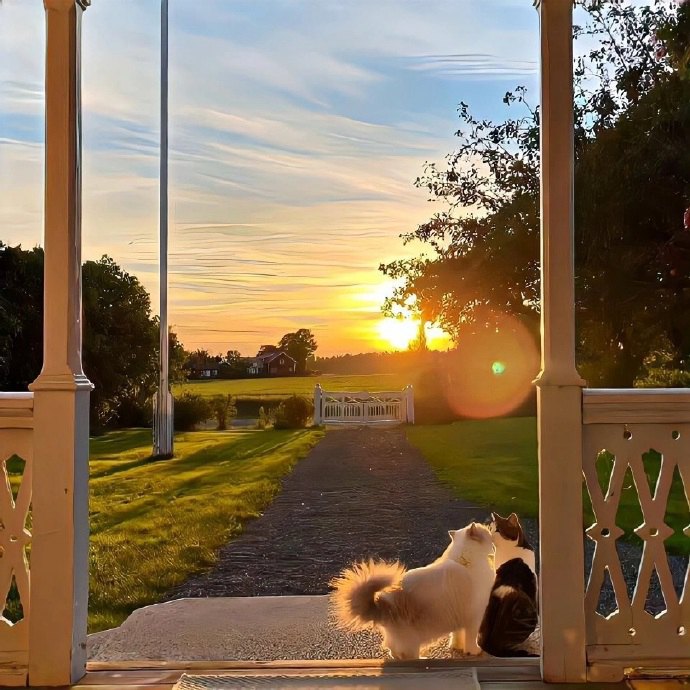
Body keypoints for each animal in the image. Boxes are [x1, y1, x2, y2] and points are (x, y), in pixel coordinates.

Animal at [330, 524, 494, 660]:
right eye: (488, 535)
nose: (493, 544)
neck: (464, 560)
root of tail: (381, 603)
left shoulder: (460, 618)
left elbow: (457, 636)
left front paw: (457, 648)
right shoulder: (474, 617)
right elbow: (470, 639)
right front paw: (473, 651)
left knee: (394, 652)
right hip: (413, 641)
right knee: (406, 656)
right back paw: (423, 659)